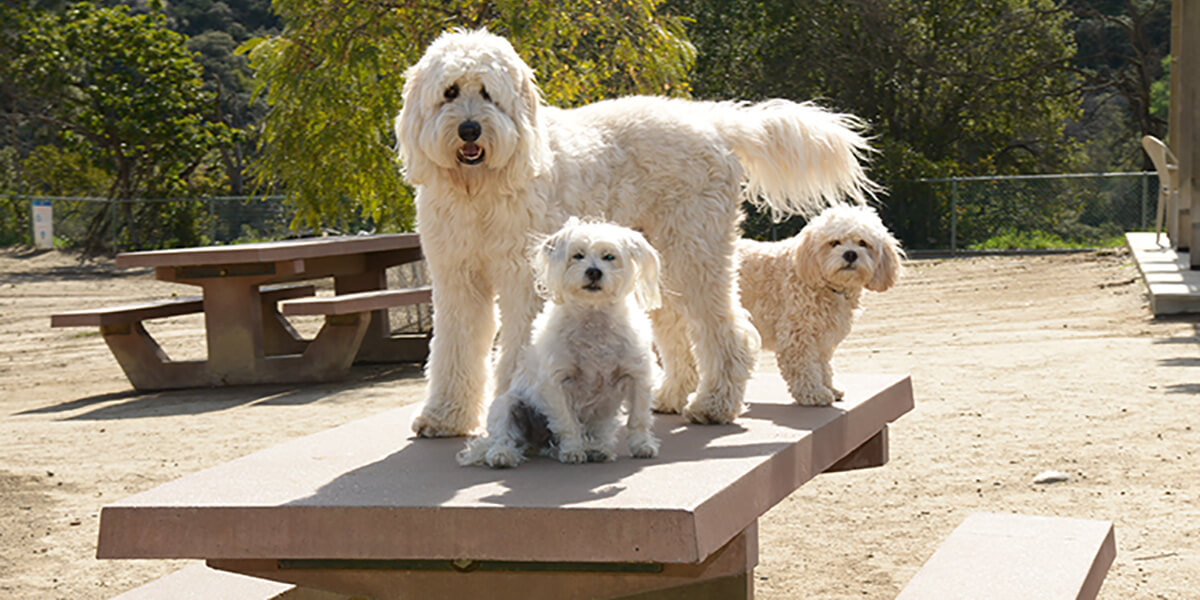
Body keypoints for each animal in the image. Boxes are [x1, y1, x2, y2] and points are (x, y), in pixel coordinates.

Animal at [398, 29, 878, 436]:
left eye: (487, 93)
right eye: (450, 92)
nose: (469, 130)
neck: (481, 190)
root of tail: (712, 123)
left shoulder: (524, 280)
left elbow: (519, 347)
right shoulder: (457, 279)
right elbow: (453, 347)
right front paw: (444, 417)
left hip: (696, 250)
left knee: (730, 330)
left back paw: (714, 405)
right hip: (663, 267)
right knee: (678, 330)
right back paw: (670, 397)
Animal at [458, 220, 667, 468]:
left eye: (609, 256)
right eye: (577, 255)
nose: (593, 271)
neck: (594, 318)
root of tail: (538, 443)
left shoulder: (638, 377)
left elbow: (638, 418)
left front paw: (642, 446)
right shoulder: (557, 382)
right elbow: (567, 422)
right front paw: (573, 450)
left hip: (602, 419)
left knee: (599, 434)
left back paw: (597, 449)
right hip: (508, 405)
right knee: (504, 437)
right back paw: (503, 455)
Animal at [734, 204, 902, 405]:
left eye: (862, 243)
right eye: (834, 242)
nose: (850, 254)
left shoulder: (823, 335)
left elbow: (822, 365)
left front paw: (830, 388)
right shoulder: (797, 334)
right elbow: (805, 366)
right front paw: (814, 393)